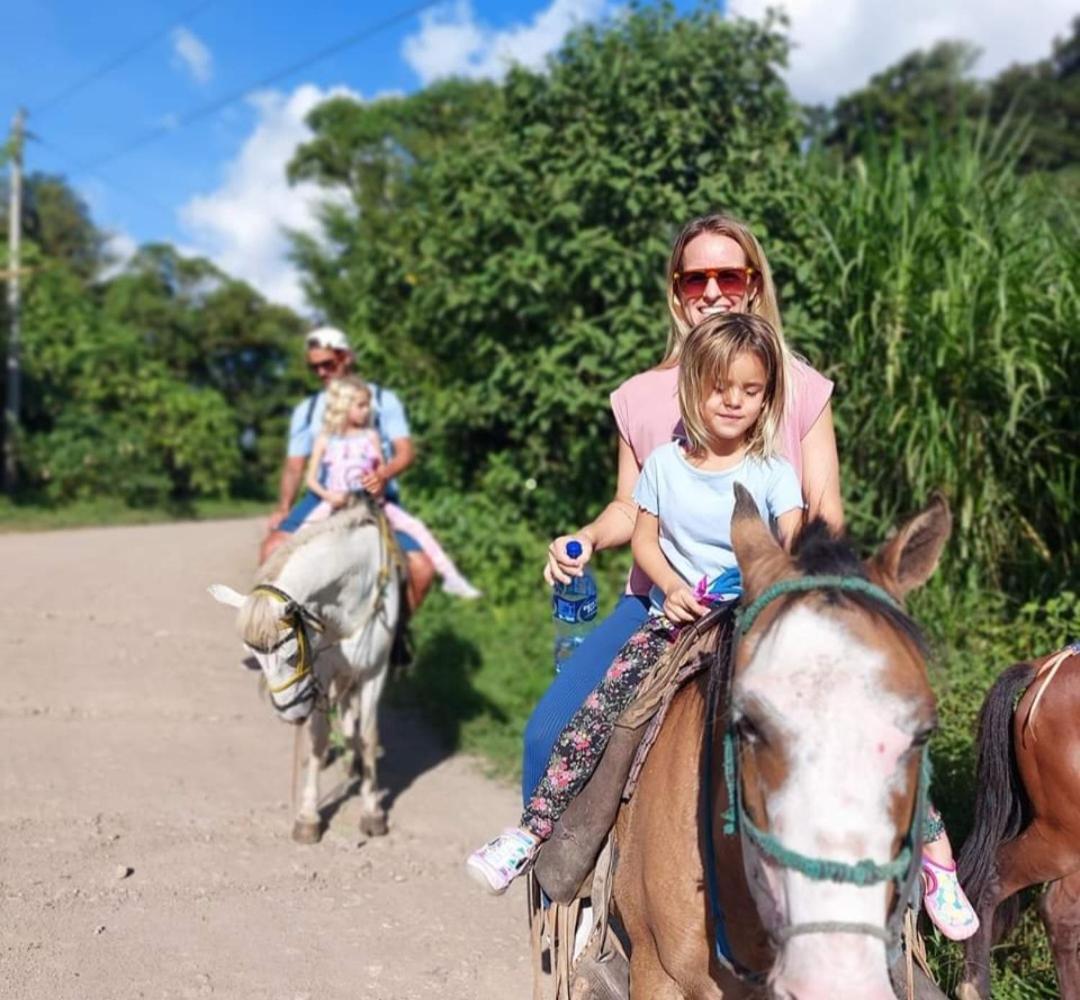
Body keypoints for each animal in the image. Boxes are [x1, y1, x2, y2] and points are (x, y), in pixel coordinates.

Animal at [208, 509, 403, 846]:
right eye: (257, 659)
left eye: (292, 655)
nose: (291, 715)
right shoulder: (323, 671)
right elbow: (319, 740)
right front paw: (308, 817)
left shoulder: (374, 673)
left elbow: (368, 737)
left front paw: (373, 813)